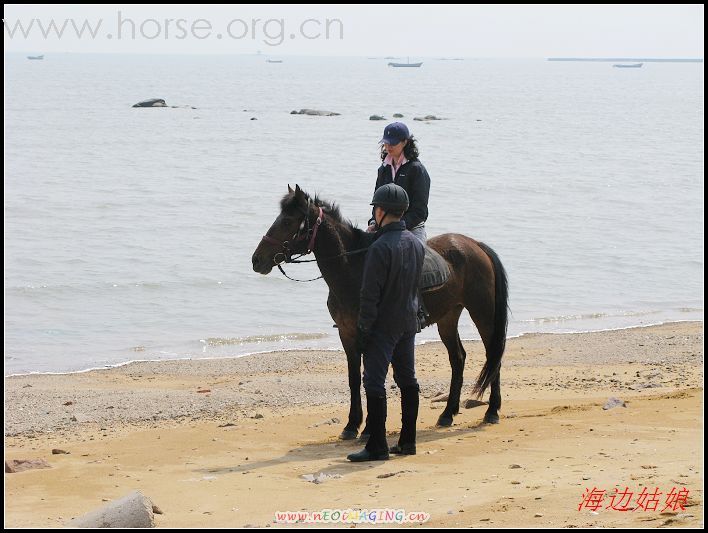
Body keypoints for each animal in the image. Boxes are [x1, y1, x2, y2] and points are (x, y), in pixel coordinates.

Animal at [252, 185, 506, 438]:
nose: (256, 260)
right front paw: (351, 425)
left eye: (288, 221)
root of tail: (475, 244)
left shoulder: (373, 333)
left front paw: (367, 428)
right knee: (458, 358)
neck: (356, 270)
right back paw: (447, 414)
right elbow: (354, 378)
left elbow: (373, 376)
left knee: (493, 355)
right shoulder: (347, 333)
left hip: (483, 314)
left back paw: (492, 411)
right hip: (448, 317)